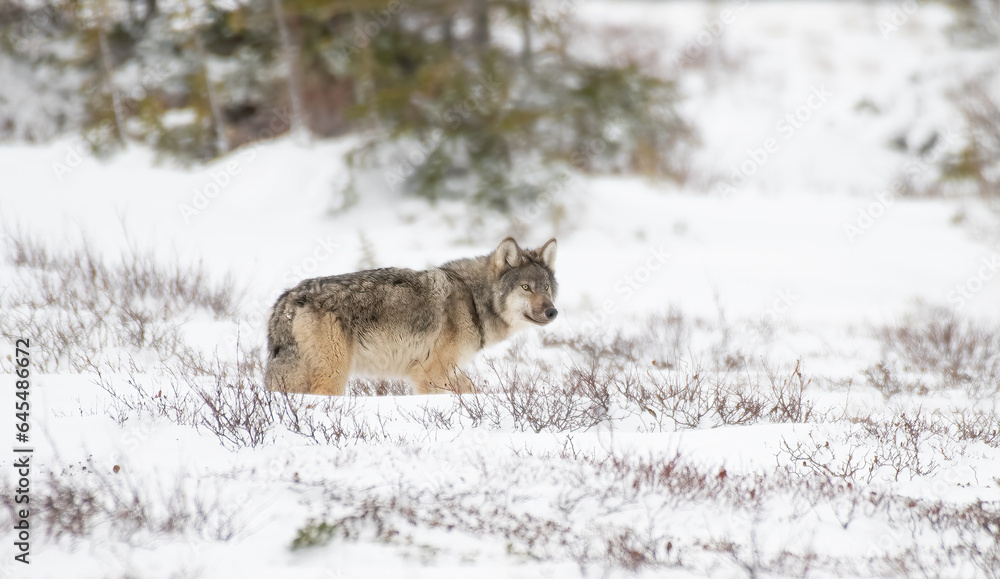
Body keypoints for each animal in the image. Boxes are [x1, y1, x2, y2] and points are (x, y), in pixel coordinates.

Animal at [265, 237, 558, 395]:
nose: (552, 311)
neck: (473, 301)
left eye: (546, 287)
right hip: (334, 375)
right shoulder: (431, 375)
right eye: (525, 288)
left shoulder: (446, 372)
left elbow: (471, 389)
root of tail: (287, 299)